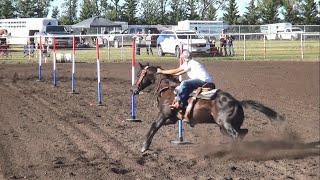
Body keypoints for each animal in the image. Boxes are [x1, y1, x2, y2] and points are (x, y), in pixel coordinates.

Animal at [132, 62, 284, 153]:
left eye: (139, 74)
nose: (133, 89)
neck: (168, 89)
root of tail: (237, 102)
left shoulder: (163, 114)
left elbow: (153, 126)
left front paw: (144, 146)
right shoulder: (172, 118)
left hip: (225, 125)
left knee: (236, 135)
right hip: (227, 127)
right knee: (243, 132)